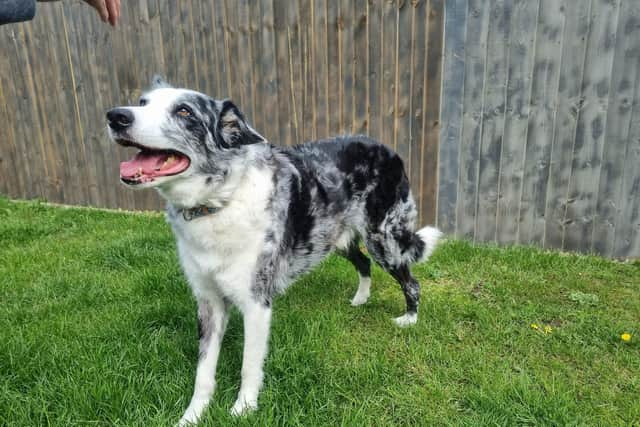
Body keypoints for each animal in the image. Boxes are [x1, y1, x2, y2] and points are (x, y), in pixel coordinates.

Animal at [106, 77, 440, 427]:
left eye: (184, 111)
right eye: (142, 103)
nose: (116, 116)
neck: (216, 204)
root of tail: (386, 148)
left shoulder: (256, 304)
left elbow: (249, 366)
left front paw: (243, 410)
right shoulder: (208, 303)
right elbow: (203, 372)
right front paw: (192, 416)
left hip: (384, 239)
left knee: (411, 281)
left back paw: (409, 319)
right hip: (336, 237)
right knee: (363, 263)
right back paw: (360, 299)